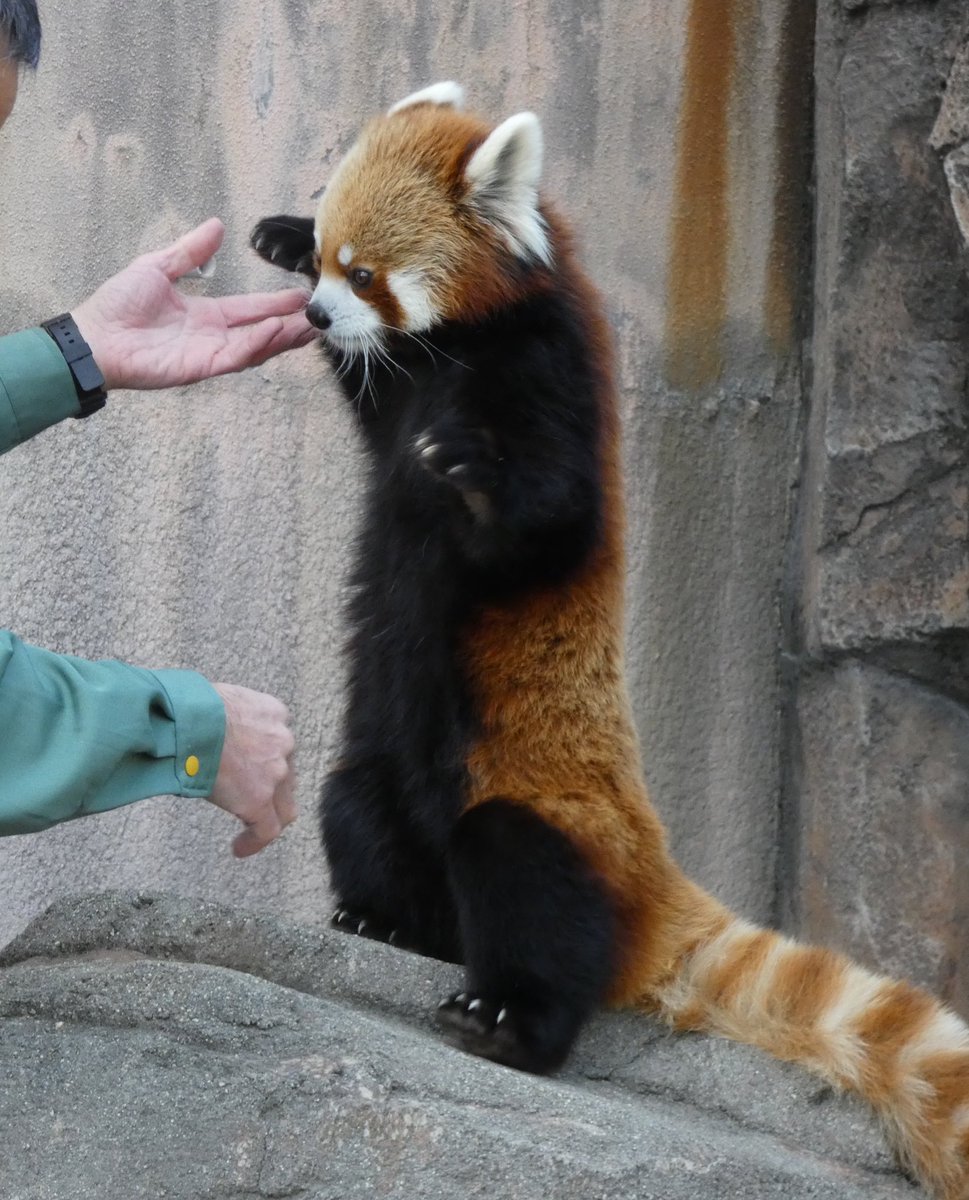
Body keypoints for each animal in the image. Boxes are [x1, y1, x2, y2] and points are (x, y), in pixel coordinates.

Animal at [251, 87, 968, 1200]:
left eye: (368, 274)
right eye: (331, 258)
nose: (319, 309)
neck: (462, 347)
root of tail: (654, 872)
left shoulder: (549, 376)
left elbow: (546, 518)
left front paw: (469, 473)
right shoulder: (398, 387)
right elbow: (370, 395)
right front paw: (277, 237)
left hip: (543, 813)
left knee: (524, 885)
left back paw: (508, 1020)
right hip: (381, 782)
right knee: (352, 802)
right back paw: (386, 923)